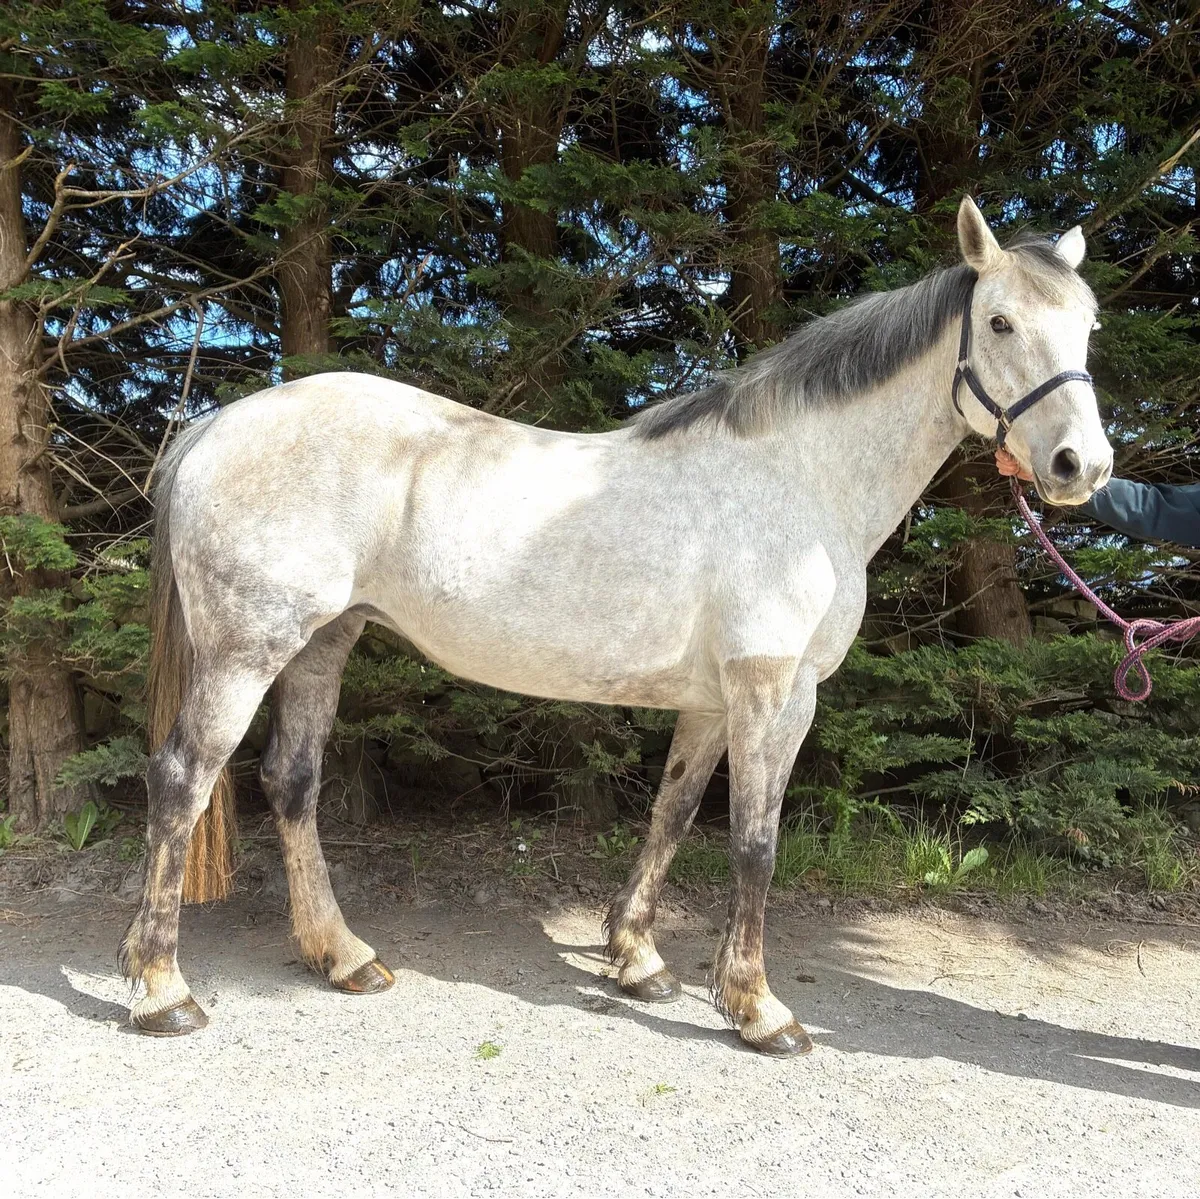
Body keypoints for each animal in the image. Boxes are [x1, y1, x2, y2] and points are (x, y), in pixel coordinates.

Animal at [120, 196, 1111, 1054]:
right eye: (1000, 323)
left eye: (1089, 326)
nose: (1083, 467)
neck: (800, 480)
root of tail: (213, 425)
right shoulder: (773, 692)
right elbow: (755, 844)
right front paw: (758, 1008)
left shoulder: (711, 702)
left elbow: (670, 815)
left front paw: (638, 960)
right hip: (244, 654)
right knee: (181, 782)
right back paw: (163, 990)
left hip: (323, 642)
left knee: (292, 783)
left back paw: (343, 956)